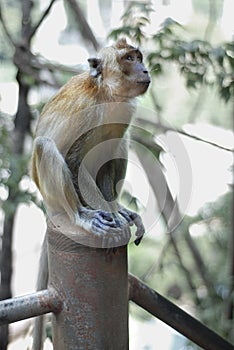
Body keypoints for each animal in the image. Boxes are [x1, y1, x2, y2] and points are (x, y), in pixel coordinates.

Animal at [30, 38, 150, 348]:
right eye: (128, 58)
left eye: (138, 57)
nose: (144, 69)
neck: (107, 93)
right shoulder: (89, 111)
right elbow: (75, 160)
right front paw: (104, 215)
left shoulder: (125, 111)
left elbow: (107, 155)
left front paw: (117, 211)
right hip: (52, 195)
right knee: (45, 146)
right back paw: (81, 215)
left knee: (120, 143)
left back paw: (117, 208)